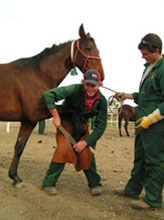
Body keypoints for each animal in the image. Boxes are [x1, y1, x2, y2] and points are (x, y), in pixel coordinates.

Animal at [0, 23, 104, 186]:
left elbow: (19, 147)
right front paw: (78, 130)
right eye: (88, 48)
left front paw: (15, 177)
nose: (100, 76)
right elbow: (70, 108)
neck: (38, 74)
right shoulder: (37, 112)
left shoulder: (29, 121)